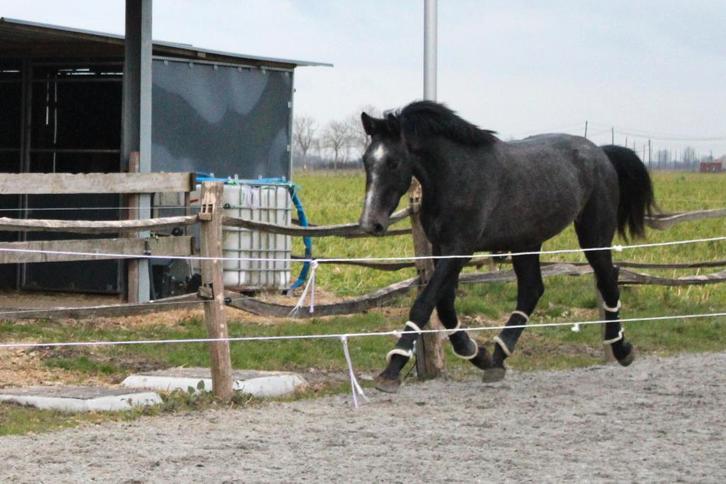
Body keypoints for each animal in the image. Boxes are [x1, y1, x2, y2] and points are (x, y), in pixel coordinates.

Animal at [359, 101, 655, 393]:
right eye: (366, 160)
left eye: (394, 162)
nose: (370, 224)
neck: (455, 176)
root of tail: (601, 153)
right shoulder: (441, 248)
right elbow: (443, 304)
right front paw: (477, 354)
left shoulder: (459, 248)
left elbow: (424, 303)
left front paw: (392, 369)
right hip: (527, 242)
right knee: (532, 290)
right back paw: (498, 358)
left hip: (594, 235)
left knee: (608, 282)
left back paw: (622, 349)